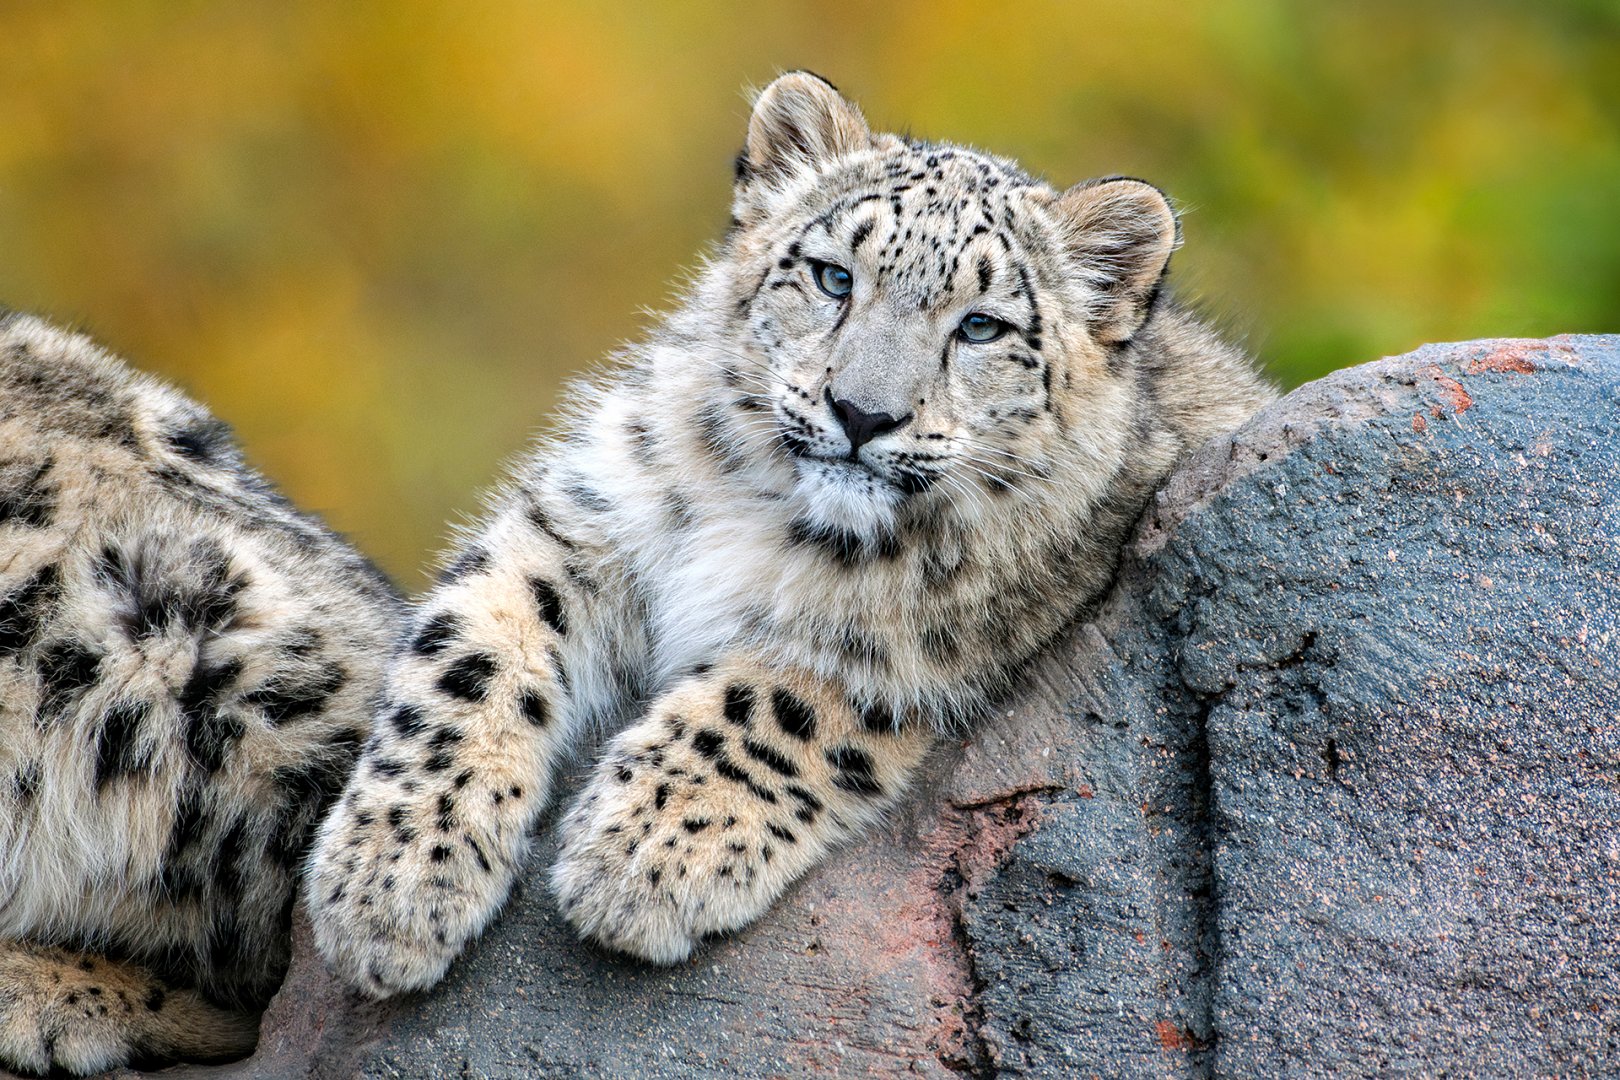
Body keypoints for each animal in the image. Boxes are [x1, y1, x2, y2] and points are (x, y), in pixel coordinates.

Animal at [306, 71, 1275, 996]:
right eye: (834, 276)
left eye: (981, 326)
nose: (863, 412)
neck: (769, 516)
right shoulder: (586, 517)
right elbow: (470, 651)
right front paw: (392, 881)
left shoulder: (908, 644)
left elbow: (772, 701)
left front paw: (640, 857)